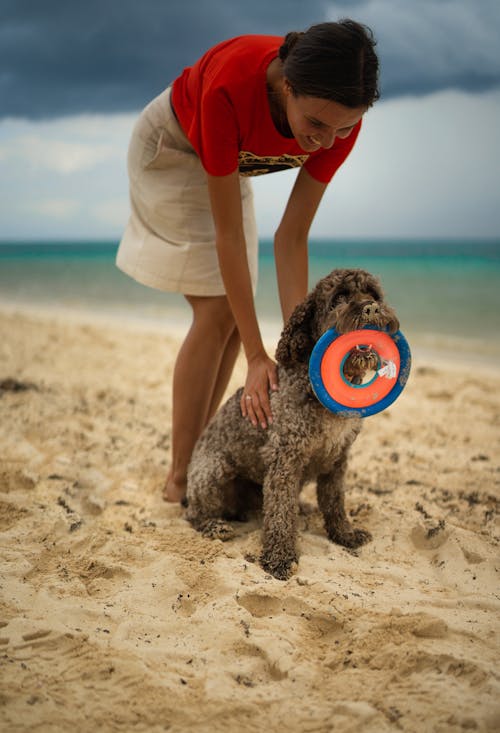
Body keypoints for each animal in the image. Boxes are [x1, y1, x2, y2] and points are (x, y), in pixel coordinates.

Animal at [186, 268, 400, 576]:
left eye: (372, 294)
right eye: (339, 297)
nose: (371, 308)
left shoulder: (338, 460)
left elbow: (335, 502)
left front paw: (344, 534)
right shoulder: (284, 461)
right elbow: (280, 513)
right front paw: (280, 557)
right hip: (213, 472)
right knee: (195, 513)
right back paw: (213, 525)